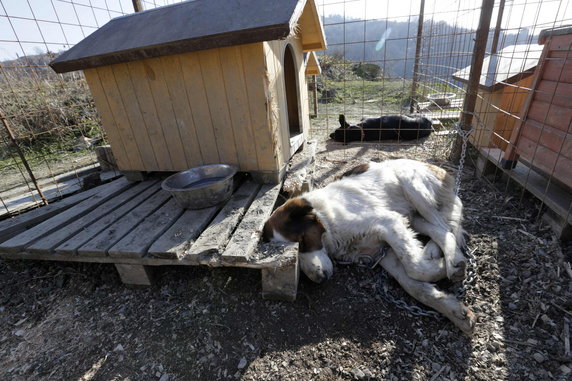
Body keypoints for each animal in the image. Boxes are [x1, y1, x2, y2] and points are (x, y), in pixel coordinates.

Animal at [262, 157, 474, 332]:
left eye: (302, 242)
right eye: (294, 262)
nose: (319, 279)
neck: (328, 222)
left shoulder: (388, 222)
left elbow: (414, 267)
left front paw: (440, 268)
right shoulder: (381, 251)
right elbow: (414, 285)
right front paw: (455, 311)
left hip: (411, 185)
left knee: (446, 227)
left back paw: (449, 260)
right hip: (413, 217)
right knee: (440, 229)